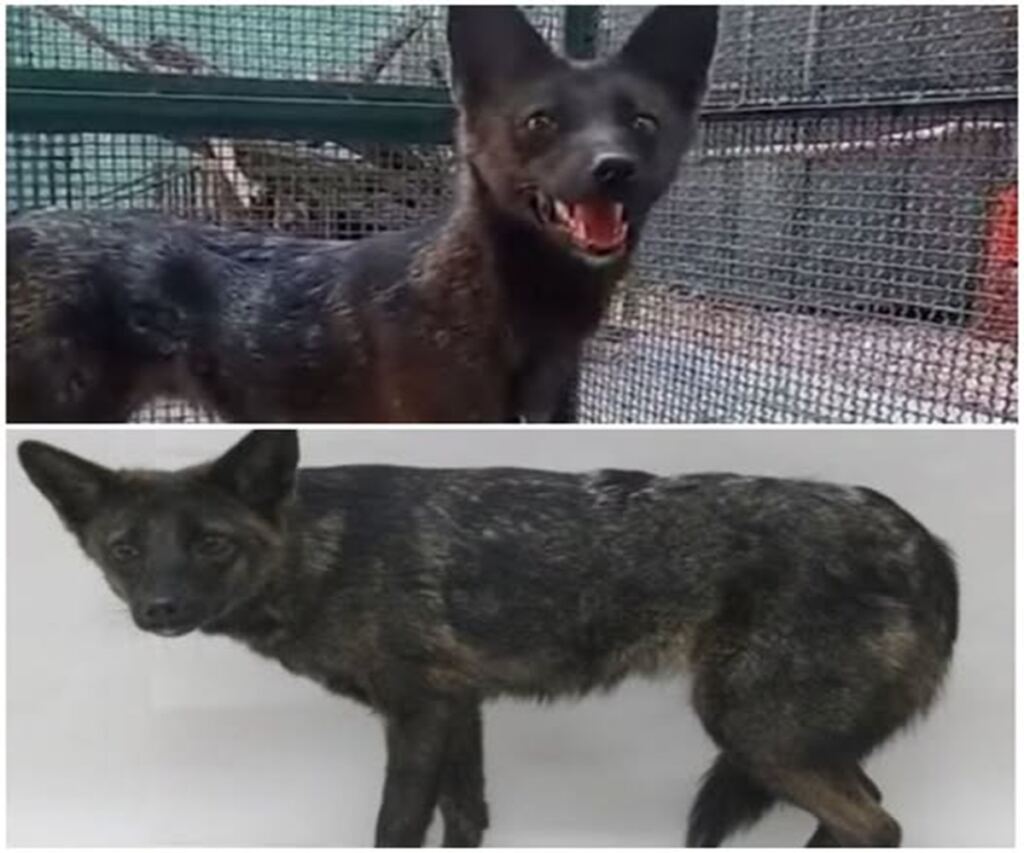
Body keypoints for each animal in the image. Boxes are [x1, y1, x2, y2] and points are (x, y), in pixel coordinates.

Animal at [18, 429, 958, 846]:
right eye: (125, 549)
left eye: (211, 543)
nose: (161, 608)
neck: (328, 549)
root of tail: (927, 541)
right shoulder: (458, 706)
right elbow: (466, 815)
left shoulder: (418, 712)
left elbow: (397, 826)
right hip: (784, 742)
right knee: (868, 813)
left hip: (754, 733)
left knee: (878, 824)